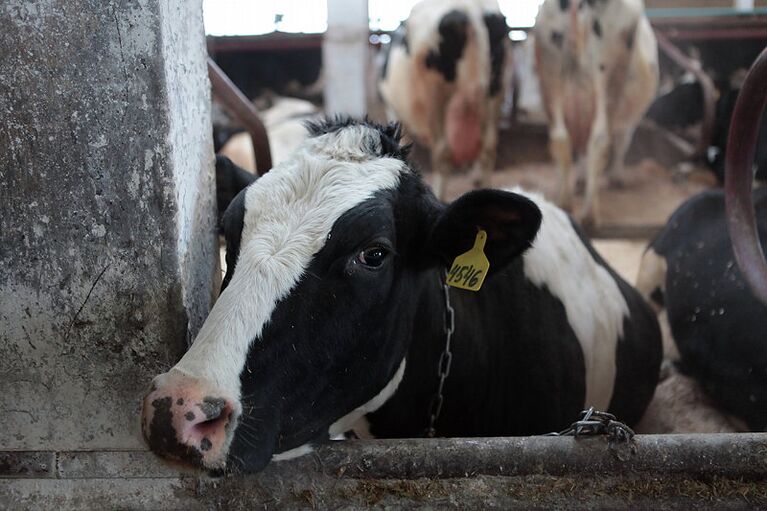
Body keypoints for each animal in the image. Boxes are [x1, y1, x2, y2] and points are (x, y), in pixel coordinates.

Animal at [378, 0, 510, 200]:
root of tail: (470, 8)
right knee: (487, 150)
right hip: (495, 91)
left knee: (443, 153)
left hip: (435, 94)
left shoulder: (394, 112)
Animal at [536, 0, 660, 226]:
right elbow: (622, 143)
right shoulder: (629, 121)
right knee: (601, 139)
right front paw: (616, 177)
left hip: (551, 67)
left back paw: (564, 202)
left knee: (560, 137)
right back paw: (590, 214)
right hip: (609, 74)